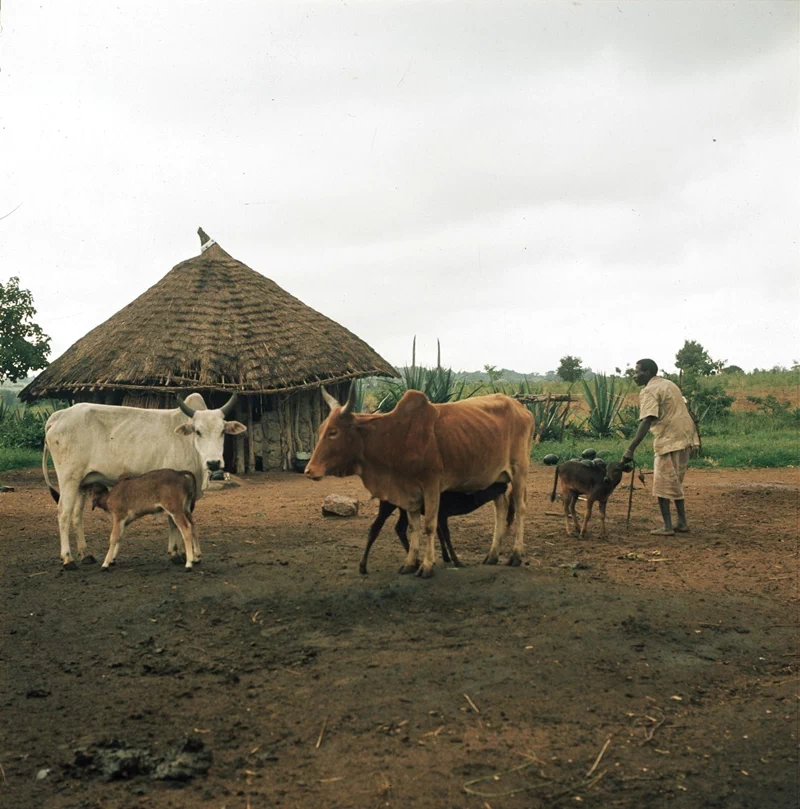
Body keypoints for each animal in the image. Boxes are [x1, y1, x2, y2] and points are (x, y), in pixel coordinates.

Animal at [43, 392, 244, 568]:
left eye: (222, 431)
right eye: (198, 431)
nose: (214, 463)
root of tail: (60, 415)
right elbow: (174, 522)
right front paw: (177, 554)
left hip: (82, 483)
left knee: (77, 516)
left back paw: (85, 555)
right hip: (69, 478)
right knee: (63, 513)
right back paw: (68, 559)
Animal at [304, 384, 536, 576]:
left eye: (333, 432)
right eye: (320, 429)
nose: (309, 470)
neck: (394, 437)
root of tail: (522, 408)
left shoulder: (431, 485)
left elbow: (429, 526)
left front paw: (426, 566)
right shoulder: (409, 493)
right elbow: (414, 527)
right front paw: (409, 563)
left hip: (519, 471)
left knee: (521, 509)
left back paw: (516, 555)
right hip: (496, 479)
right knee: (501, 509)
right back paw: (492, 555)